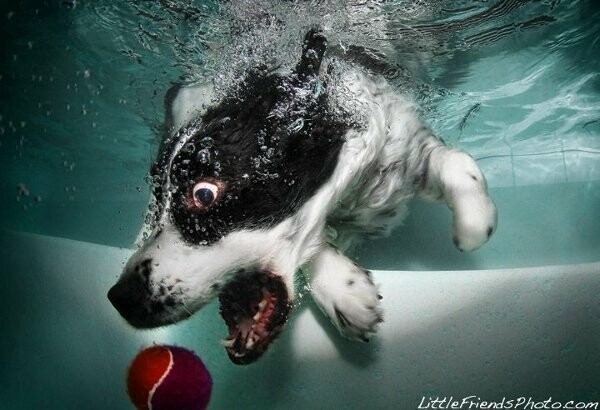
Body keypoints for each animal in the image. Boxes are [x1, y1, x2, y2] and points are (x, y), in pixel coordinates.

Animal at [108, 31, 496, 366]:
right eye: (159, 193)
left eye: (204, 194)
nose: (119, 299)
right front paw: (346, 291)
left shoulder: (403, 145)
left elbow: (459, 165)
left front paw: (474, 226)